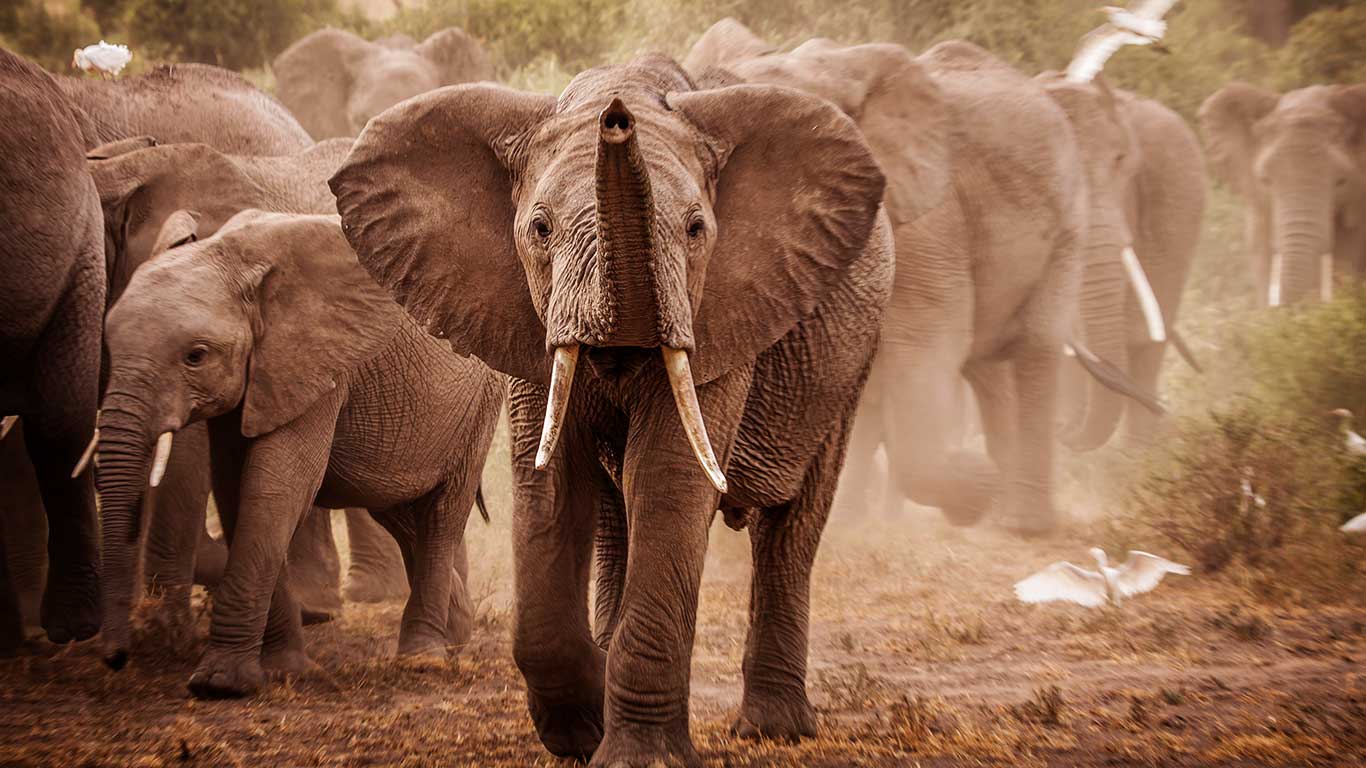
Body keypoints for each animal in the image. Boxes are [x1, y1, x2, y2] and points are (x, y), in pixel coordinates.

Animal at [96, 209, 504, 696]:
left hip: (480, 404)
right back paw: (457, 634)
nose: (116, 658)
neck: (231, 257)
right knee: (400, 514)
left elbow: (275, 489)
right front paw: (284, 670)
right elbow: (235, 490)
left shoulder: (317, 366)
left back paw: (424, 659)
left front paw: (220, 684)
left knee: (441, 514)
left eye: (195, 356)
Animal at [331, 54, 897, 766]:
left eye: (696, 229)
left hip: (849, 361)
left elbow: (668, 480)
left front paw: (638, 755)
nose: (618, 117)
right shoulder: (523, 315)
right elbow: (548, 484)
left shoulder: (715, 313)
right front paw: (581, 732)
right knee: (612, 515)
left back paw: (773, 730)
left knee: (791, 527)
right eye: (540, 228)